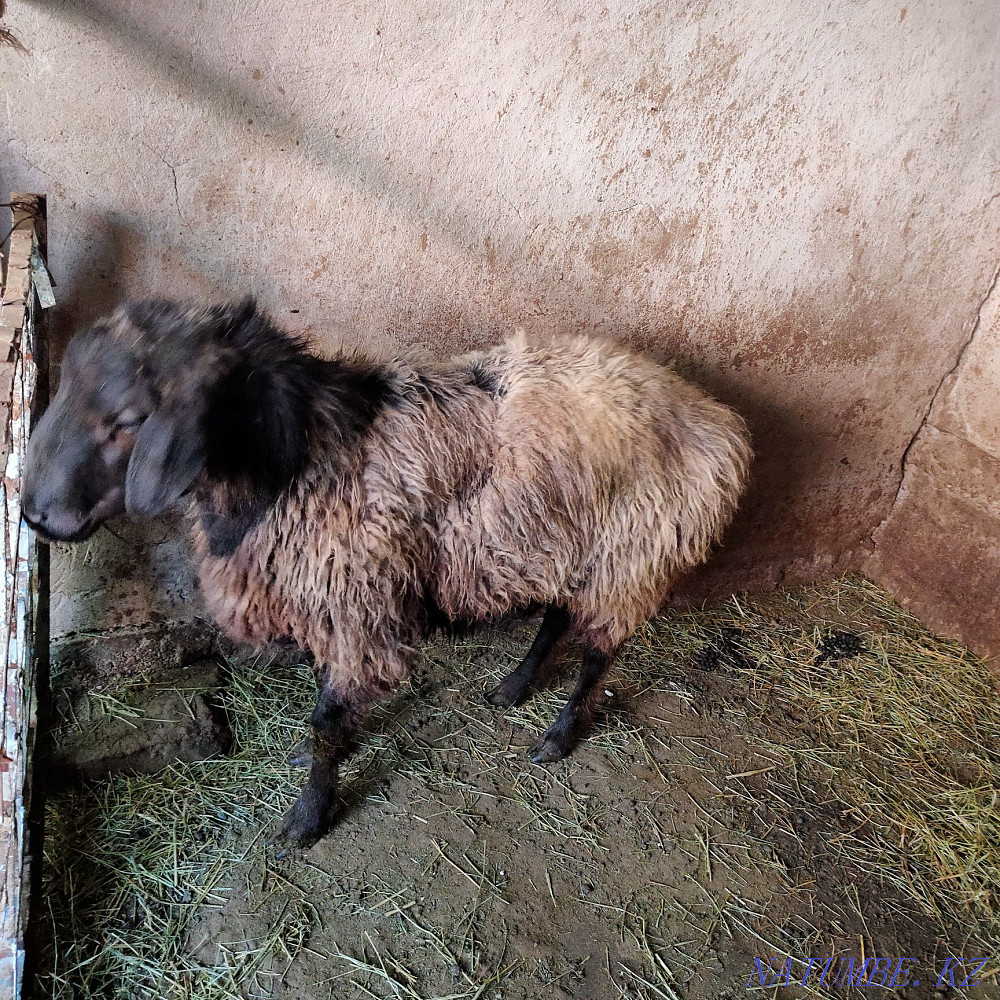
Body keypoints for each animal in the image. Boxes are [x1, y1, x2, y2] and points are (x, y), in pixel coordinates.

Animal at [22, 298, 752, 845]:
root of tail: (717, 422)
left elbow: (327, 719)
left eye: (128, 420)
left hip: (629, 557)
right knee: (555, 616)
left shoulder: (356, 603)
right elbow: (327, 704)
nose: (34, 512)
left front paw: (307, 818)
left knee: (599, 653)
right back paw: (515, 685)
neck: (295, 460)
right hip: (561, 543)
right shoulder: (333, 601)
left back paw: (558, 734)